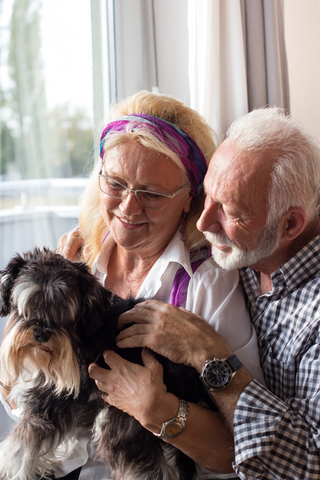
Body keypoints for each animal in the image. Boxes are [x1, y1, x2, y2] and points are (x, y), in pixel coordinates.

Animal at [0, 248, 216, 480]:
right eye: (30, 304)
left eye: (65, 311)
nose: (41, 334)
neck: (84, 332)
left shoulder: (50, 401)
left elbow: (19, 447)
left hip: (127, 416)